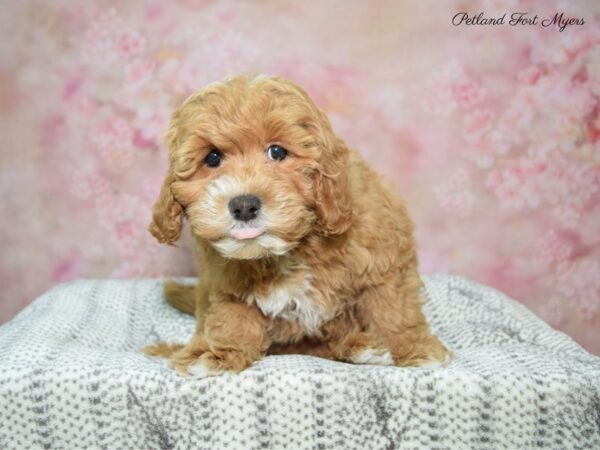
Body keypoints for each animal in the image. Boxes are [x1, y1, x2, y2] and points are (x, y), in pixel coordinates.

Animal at [143, 74, 448, 376]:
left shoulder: (383, 258)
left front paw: (411, 348)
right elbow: (231, 318)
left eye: (277, 152)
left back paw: (360, 346)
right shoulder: (227, 285)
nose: (244, 206)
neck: (291, 249)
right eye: (212, 157)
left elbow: (392, 308)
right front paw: (216, 352)